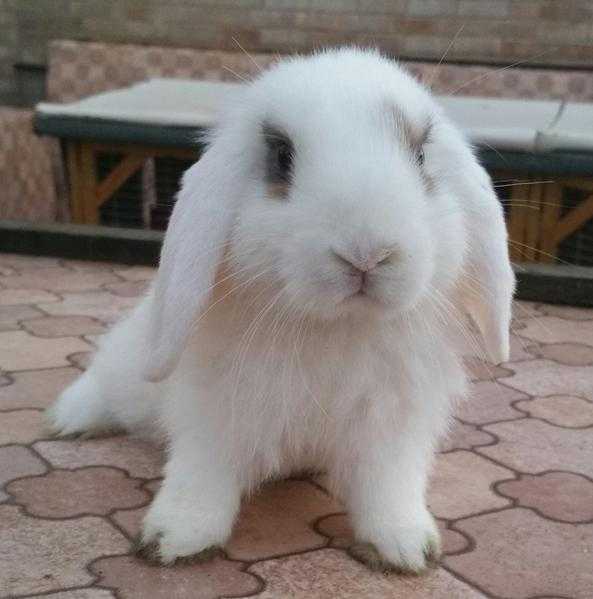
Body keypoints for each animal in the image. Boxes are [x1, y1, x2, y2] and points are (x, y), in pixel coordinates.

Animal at [46, 45, 512, 572]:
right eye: (281, 157)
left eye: (420, 155)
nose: (366, 254)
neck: (335, 329)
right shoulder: (214, 414)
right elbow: (201, 475)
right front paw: (174, 540)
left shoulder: (392, 427)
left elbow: (387, 487)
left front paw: (405, 548)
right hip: (130, 368)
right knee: (102, 380)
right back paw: (69, 419)